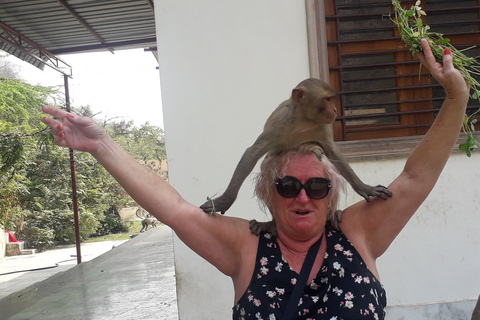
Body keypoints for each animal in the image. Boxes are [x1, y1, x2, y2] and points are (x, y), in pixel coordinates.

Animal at [199, 78, 390, 232]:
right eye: (328, 99)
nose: (335, 110)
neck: (303, 121)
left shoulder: (320, 127)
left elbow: (333, 153)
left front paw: (365, 188)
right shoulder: (279, 125)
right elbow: (251, 154)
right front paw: (225, 201)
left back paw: (332, 214)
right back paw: (272, 223)